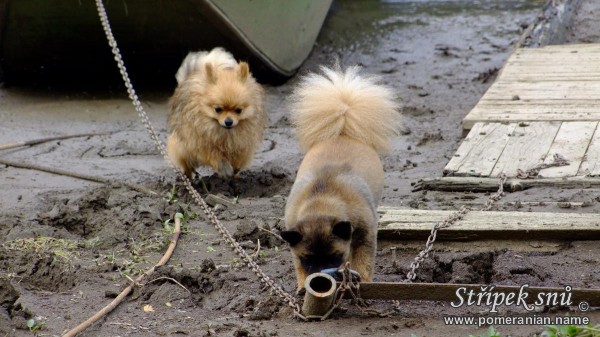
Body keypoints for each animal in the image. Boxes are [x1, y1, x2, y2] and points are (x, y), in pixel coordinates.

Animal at [165, 48, 266, 178]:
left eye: (239, 110)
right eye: (218, 109)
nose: (228, 121)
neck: (224, 133)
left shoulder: (242, 145)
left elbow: (238, 159)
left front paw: (235, 170)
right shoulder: (201, 144)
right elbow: (215, 156)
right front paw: (224, 167)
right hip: (181, 147)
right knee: (186, 165)